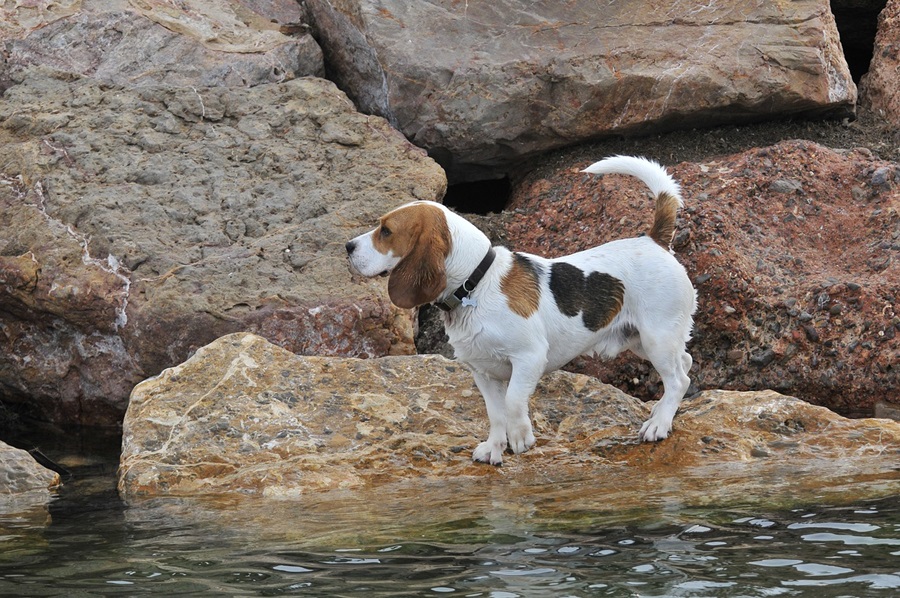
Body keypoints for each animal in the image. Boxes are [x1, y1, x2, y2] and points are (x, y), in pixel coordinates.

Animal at [346, 157, 696, 466]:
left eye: (386, 231)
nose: (347, 246)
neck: (476, 285)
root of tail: (653, 241)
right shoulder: (484, 372)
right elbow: (495, 413)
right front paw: (494, 447)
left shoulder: (529, 358)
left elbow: (514, 402)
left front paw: (521, 437)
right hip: (640, 339)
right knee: (686, 364)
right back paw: (661, 412)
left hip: (656, 338)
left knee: (679, 380)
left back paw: (659, 424)